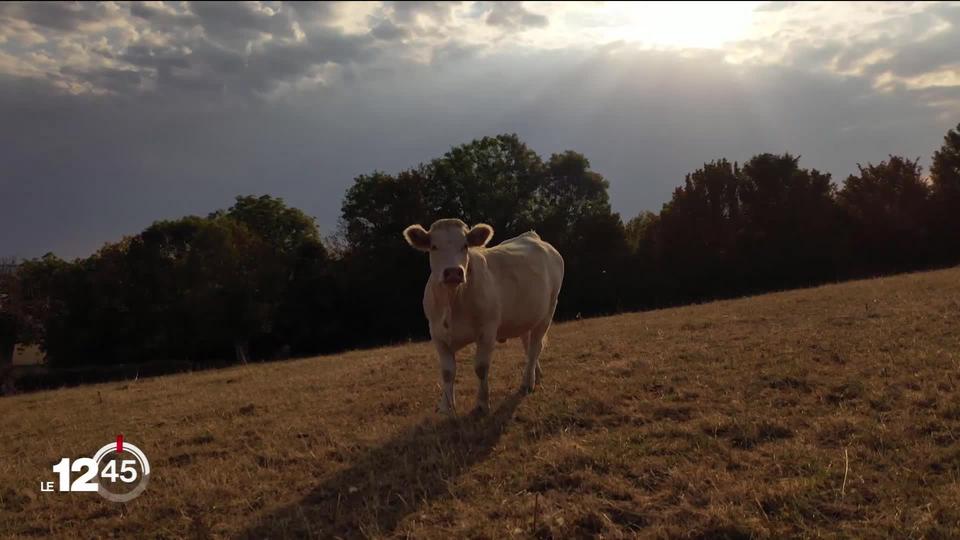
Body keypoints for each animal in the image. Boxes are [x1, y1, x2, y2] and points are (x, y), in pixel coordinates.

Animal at [404, 217, 564, 416]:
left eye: (465, 245)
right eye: (434, 246)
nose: (453, 272)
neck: (453, 300)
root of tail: (532, 235)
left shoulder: (487, 331)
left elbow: (481, 368)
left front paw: (481, 404)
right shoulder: (437, 333)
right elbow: (447, 372)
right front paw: (446, 407)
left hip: (548, 311)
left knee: (535, 347)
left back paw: (527, 383)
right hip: (527, 317)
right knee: (529, 347)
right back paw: (536, 376)